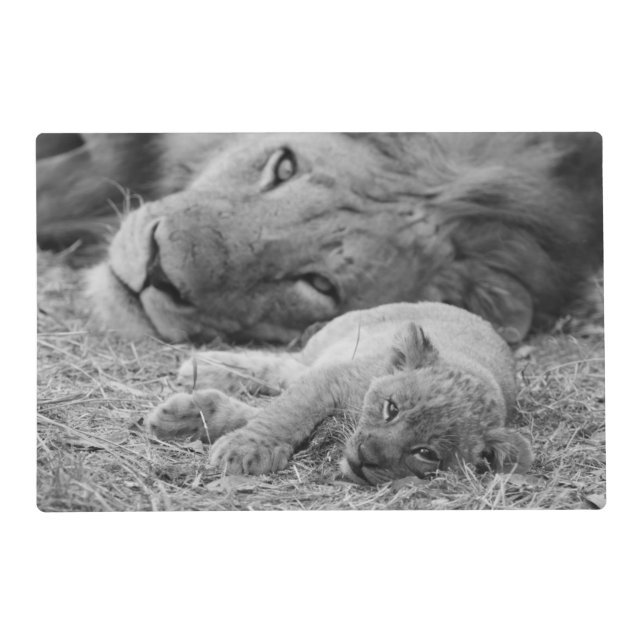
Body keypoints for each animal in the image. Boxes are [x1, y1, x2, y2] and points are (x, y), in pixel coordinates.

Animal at [145, 302, 533, 484]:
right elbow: (285, 413)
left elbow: (261, 413)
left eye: (426, 453)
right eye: (391, 409)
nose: (365, 456)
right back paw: (202, 366)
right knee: (281, 366)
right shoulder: (333, 377)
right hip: (331, 344)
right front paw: (246, 449)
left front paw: (191, 416)